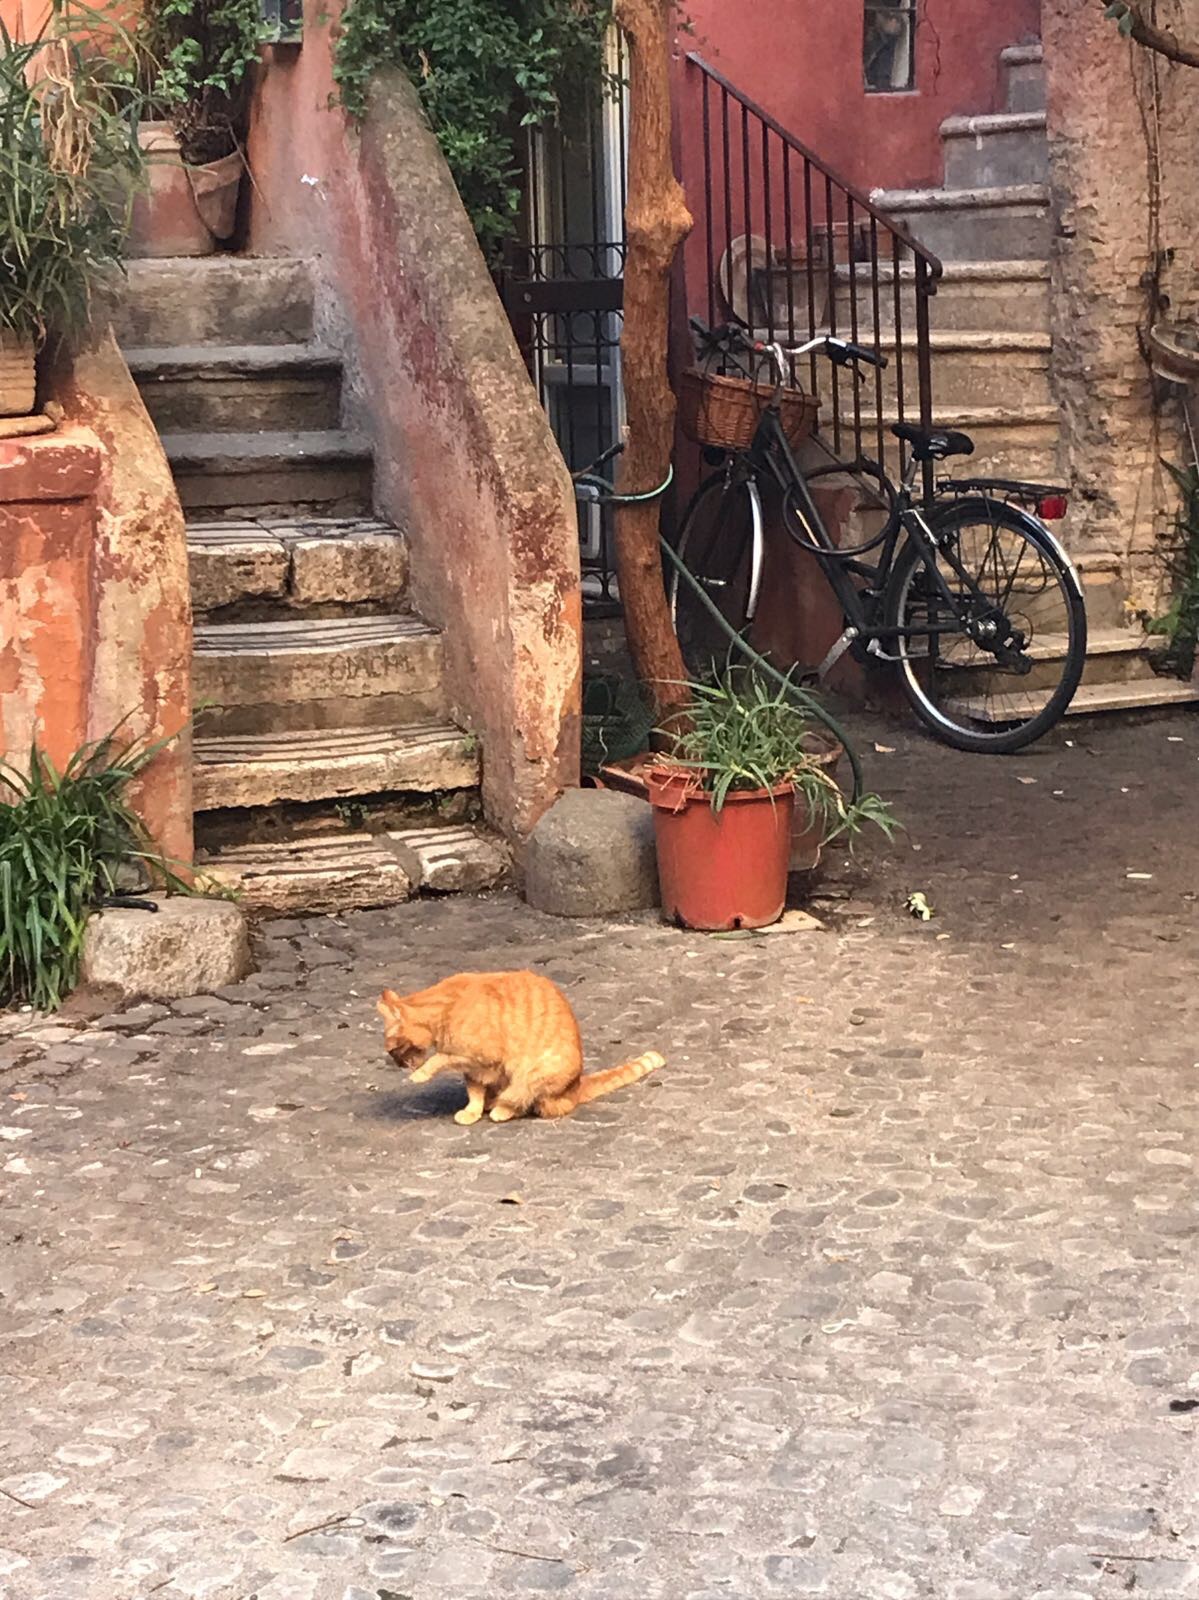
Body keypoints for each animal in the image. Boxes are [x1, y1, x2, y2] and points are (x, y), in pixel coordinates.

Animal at [376, 970, 664, 1125]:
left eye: (392, 1051)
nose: (397, 1065)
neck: (445, 1009)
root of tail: (576, 1085)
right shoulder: (475, 1070)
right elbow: (474, 1093)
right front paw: (472, 1111)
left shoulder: (477, 1056)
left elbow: (440, 1058)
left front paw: (420, 1073)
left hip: (533, 1072)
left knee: (524, 1101)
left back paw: (501, 1109)